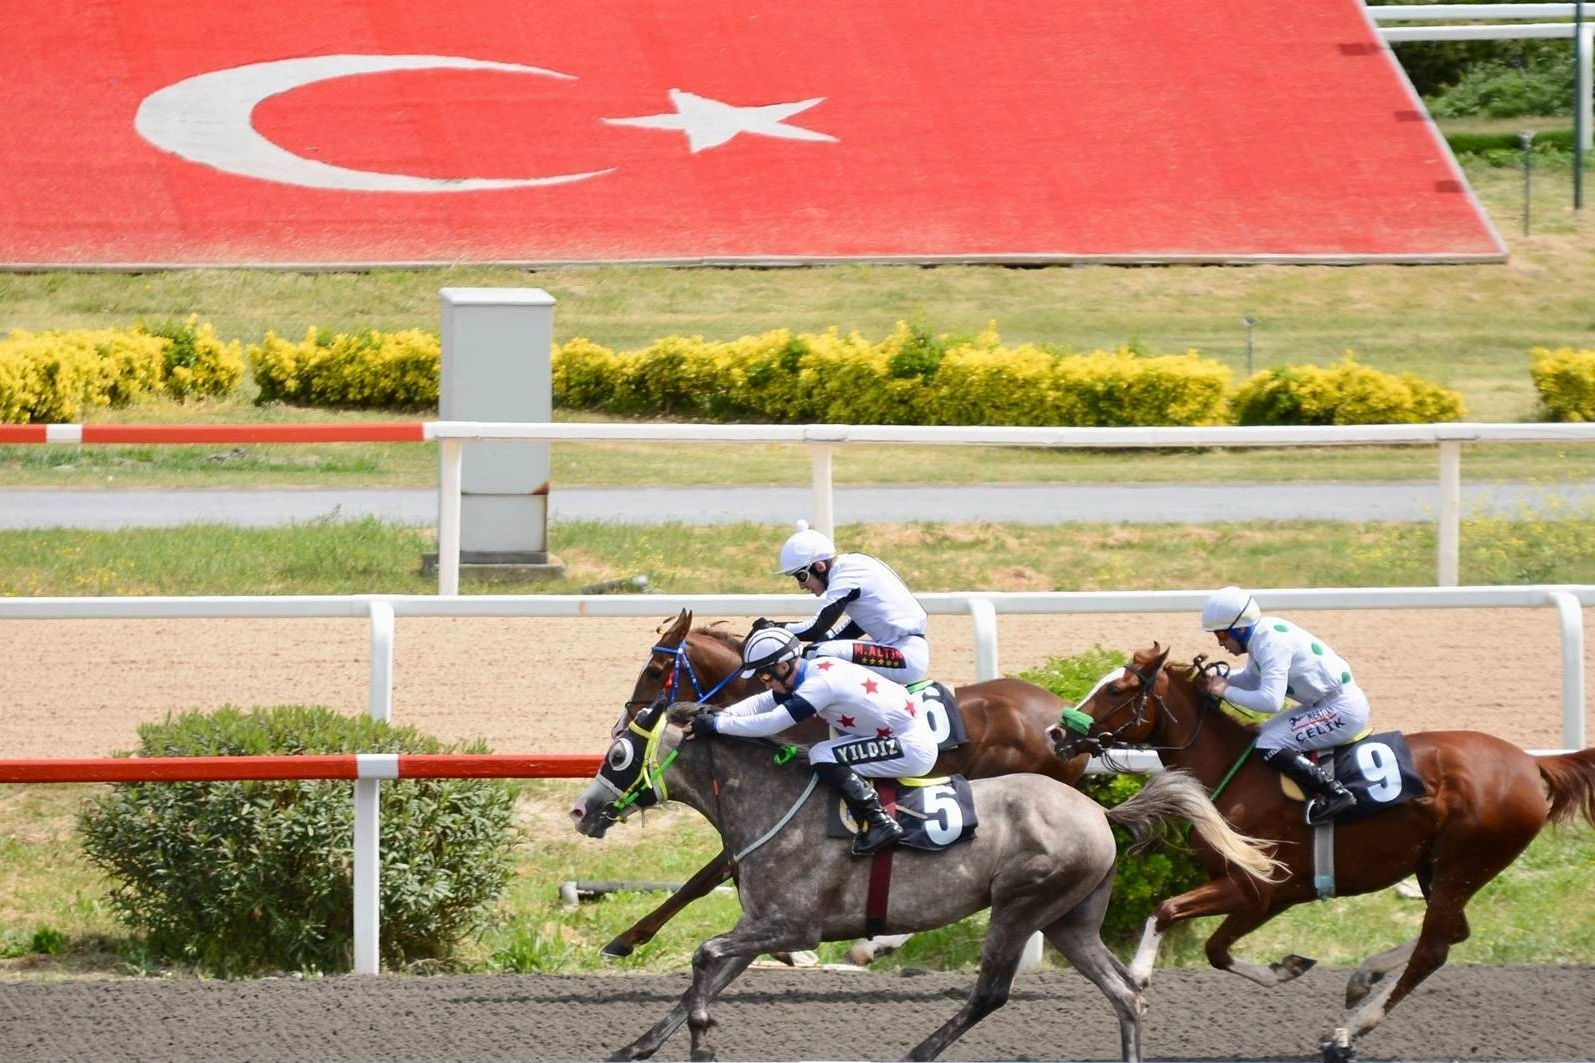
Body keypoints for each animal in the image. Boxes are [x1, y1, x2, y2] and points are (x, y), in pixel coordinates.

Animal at [567, 699, 1276, 1053]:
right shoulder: (764, 924)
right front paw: (633, 1049)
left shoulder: (792, 925)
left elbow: (703, 956)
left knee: (991, 994)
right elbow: (706, 972)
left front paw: (702, 1039)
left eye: (619, 753)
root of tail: (1099, 812)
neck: (773, 801)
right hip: (1070, 921)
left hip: (1019, 905)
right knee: (1126, 994)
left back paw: (915, 1053)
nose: (581, 810)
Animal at [599, 603, 1097, 957]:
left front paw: (627, 938)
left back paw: (877, 943)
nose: (624, 726)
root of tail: (1066, 721)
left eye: (656, 671)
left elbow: (706, 877)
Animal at [1046, 638, 1595, 1059]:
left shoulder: (1258, 887)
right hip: (1437, 867)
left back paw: (1348, 1031)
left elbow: (1171, 913)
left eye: (1116, 689)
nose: (1056, 732)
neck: (1237, 774)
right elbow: (1215, 950)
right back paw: (1363, 978)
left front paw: (1137, 978)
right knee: (1450, 932)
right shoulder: (1267, 895)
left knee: (1433, 948)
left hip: (1463, 861)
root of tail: (1530, 763)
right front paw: (1288, 967)